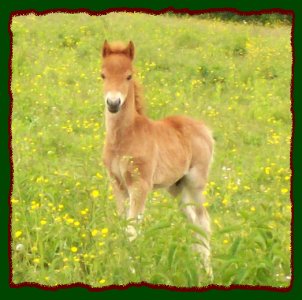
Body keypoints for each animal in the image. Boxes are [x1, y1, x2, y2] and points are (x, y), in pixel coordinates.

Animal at [102, 41, 215, 278]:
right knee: (192, 221)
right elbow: (122, 225)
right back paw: (196, 268)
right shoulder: (117, 184)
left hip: (196, 184)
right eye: (103, 75)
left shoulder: (141, 185)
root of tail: (205, 129)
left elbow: (132, 230)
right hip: (176, 187)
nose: (113, 103)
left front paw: (132, 271)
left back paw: (208, 274)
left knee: (203, 222)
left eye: (128, 76)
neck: (125, 137)